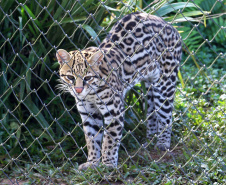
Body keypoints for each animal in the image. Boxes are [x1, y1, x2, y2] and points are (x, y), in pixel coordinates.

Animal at [56, 11, 182, 171]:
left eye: (88, 77)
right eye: (70, 77)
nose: (78, 90)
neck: (91, 94)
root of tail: (169, 25)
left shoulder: (114, 112)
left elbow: (109, 140)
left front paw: (108, 164)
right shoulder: (88, 113)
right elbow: (91, 139)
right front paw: (92, 162)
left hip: (165, 85)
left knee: (166, 116)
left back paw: (162, 143)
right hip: (149, 86)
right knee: (152, 112)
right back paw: (149, 140)